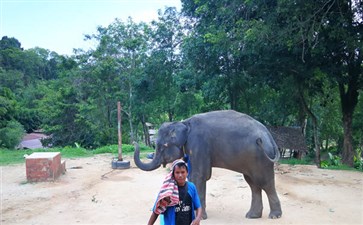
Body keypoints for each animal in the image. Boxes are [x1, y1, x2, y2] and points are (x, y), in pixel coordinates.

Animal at [135, 110, 282, 220]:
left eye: (163, 146)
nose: (135, 142)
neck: (184, 123)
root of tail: (268, 135)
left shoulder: (199, 144)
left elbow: (199, 176)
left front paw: (199, 217)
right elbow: (194, 176)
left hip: (261, 159)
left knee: (265, 183)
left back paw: (274, 216)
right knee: (253, 184)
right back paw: (252, 216)